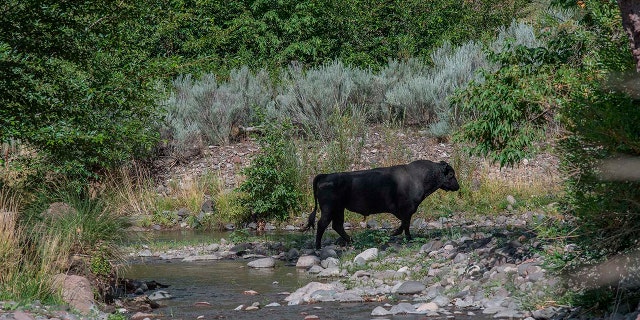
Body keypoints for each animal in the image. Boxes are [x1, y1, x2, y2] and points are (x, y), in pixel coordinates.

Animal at [304, 160, 460, 250]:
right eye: (451, 174)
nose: (457, 186)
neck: (418, 177)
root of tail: (325, 176)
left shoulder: (406, 211)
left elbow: (405, 223)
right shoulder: (408, 209)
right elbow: (405, 223)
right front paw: (400, 234)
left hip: (339, 209)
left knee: (337, 225)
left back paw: (352, 240)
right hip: (329, 209)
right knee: (322, 224)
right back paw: (318, 247)